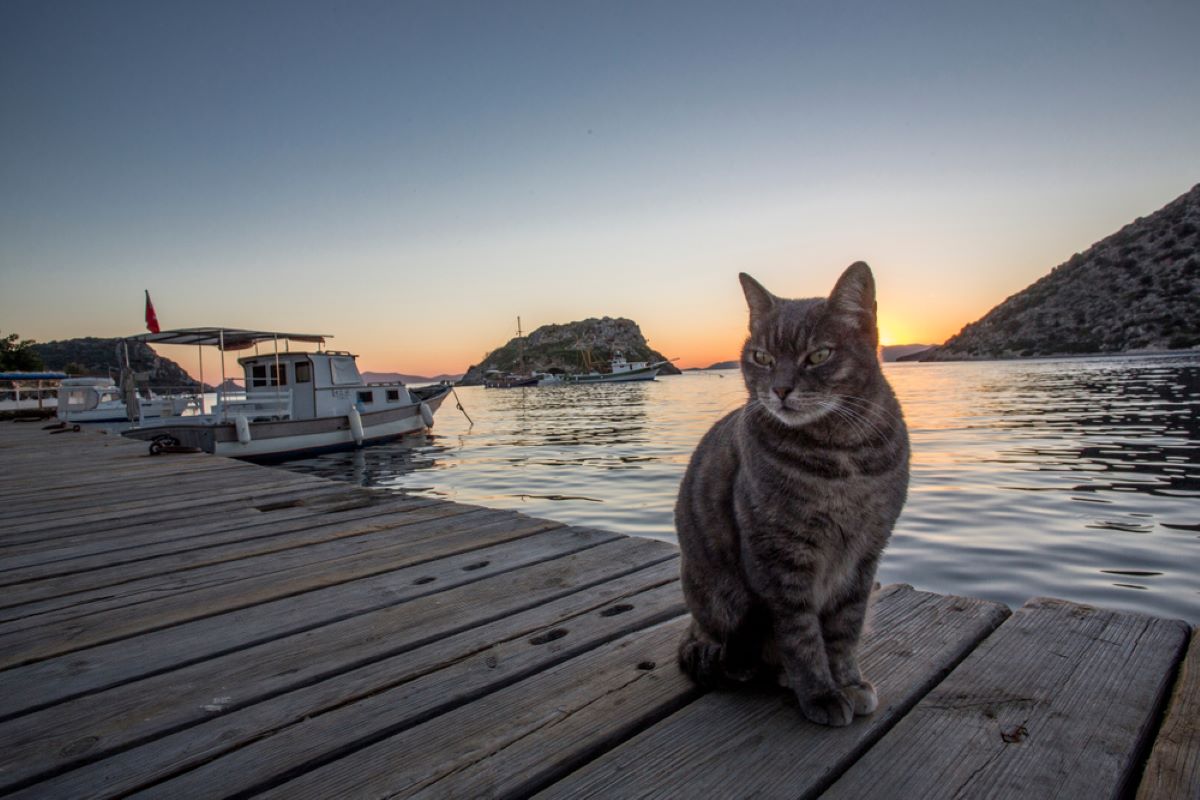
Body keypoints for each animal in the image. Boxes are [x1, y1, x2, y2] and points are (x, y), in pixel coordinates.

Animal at [676, 266, 907, 729]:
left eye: (818, 355)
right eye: (762, 357)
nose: (781, 389)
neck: (844, 457)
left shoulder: (865, 555)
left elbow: (845, 629)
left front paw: (848, 681)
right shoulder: (781, 557)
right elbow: (801, 636)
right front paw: (820, 692)